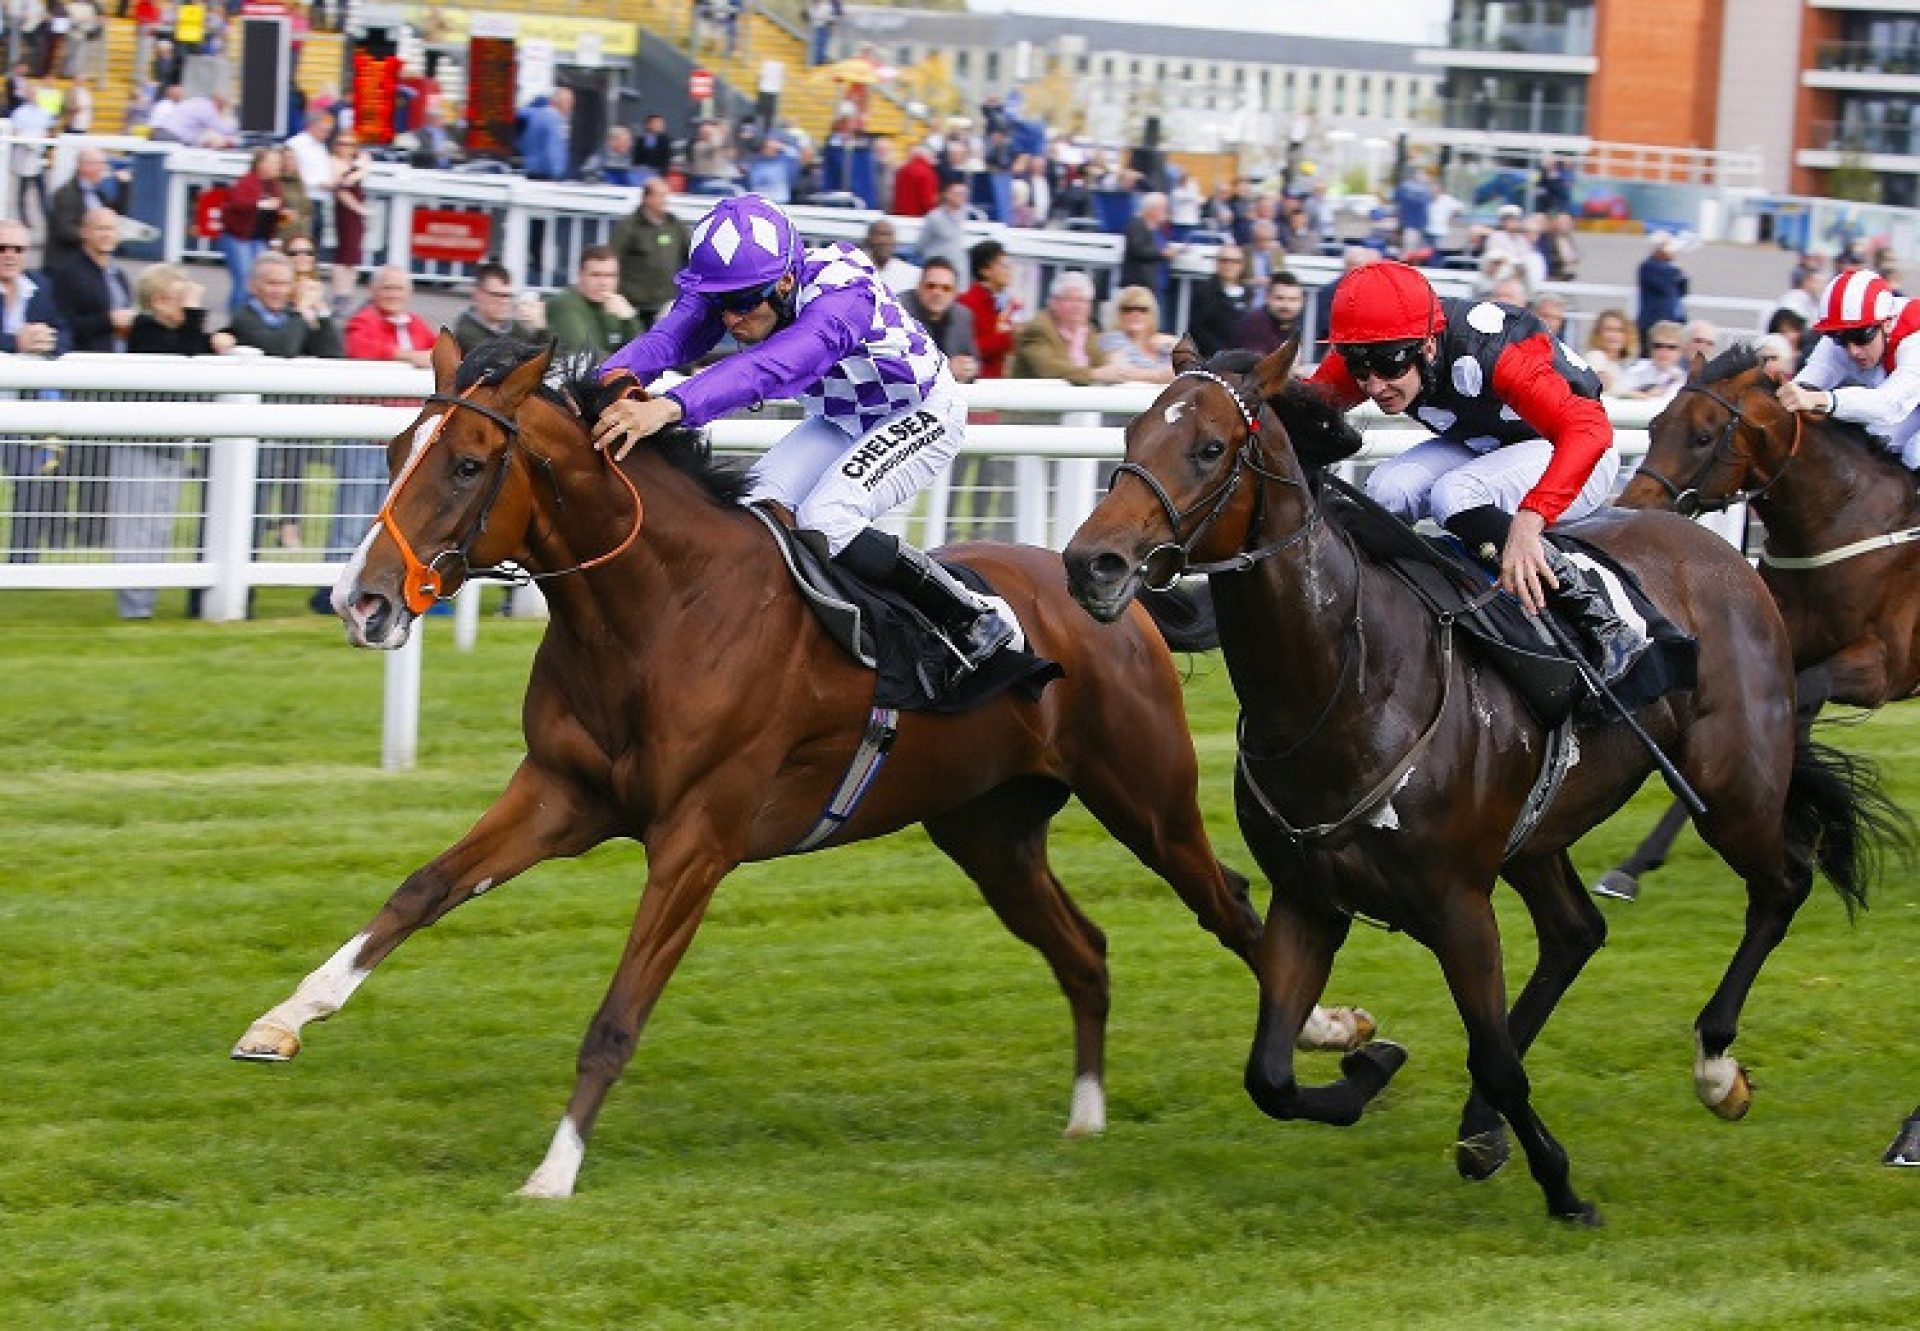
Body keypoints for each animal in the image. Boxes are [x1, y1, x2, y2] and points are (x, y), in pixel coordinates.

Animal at [228, 330, 1382, 1190]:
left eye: (468, 464)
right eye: (390, 453)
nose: (361, 600)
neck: (658, 608)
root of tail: (1115, 594)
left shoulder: (697, 838)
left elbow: (617, 1014)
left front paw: (553, 1171)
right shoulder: (562, 791)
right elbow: (420, 888)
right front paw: (282, 1019)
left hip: (1144, 796)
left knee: (1227, 900)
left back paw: (1332, 1025)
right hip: (989, 828)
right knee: (1085, 948)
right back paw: (1087, 1115)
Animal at [1605, 341, 1920, 898]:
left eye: (1702, 436)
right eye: (1655, 425)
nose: (1632, 508)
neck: (1839, 519)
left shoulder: (1881, 668)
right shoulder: (1773, 652)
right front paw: (1635, 863)